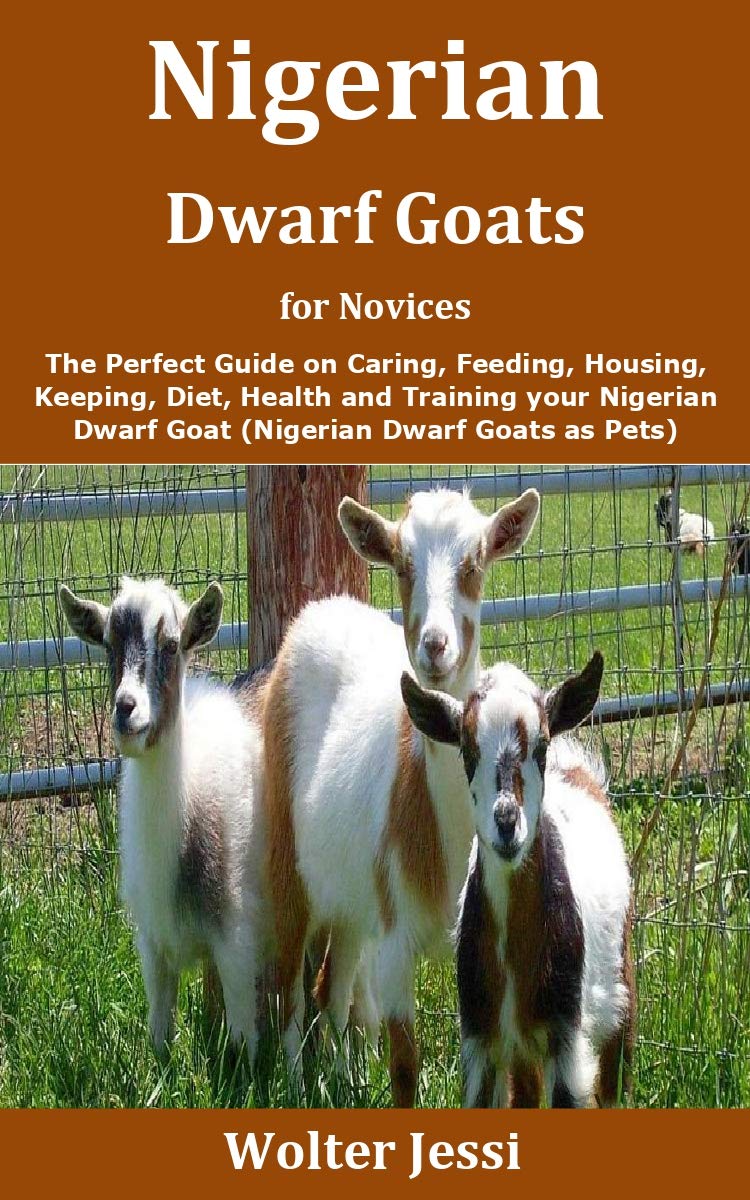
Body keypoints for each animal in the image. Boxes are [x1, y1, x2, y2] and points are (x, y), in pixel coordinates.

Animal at [59, 577, 271, 1058]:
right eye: (107, 644)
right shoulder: (152, 944)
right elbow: (159, 1037)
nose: (126, 708)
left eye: (171, 646)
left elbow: (244, 1047)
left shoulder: (237, 939)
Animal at [262, 486, 540, 1104]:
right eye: (402, 564)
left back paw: (344, 1077)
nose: (435, 645)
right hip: (288, 861)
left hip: (351, 897)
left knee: (333, 988)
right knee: (291, 990)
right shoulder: (394, 941)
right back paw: (292, 1084)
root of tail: (323, 610)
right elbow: (405, 1066)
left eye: (474, 562)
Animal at [402, 652, 634, 1108]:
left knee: (614, 1082)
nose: (507, 823)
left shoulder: (566, 1036)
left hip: (619, 983)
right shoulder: (480, 1038)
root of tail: (578, 772)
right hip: (522, 1046)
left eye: (541, 745)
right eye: (467, 750)